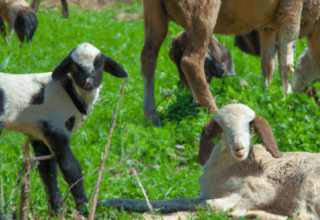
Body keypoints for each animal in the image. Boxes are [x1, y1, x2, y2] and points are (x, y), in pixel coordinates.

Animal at [142, 0, 320, 126]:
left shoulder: (267, 26)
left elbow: (268, 64)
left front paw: (268, 96)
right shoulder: (291, 9)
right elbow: (286, 60)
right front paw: (285, 99)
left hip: (154, 15)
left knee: (148, 58)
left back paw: (152, 118)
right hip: (201, 13)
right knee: (191, 62)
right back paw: (212, 111)